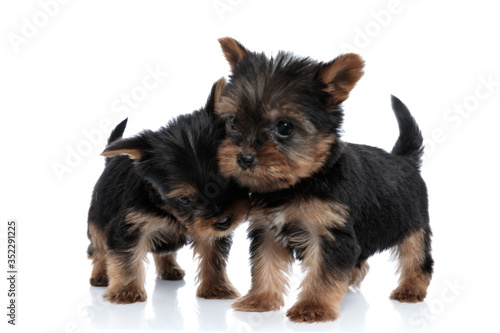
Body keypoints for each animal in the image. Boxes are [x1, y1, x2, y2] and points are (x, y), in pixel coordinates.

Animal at [88, 78, 250, 304]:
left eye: (231, 180)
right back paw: (100, 275)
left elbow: (213, 255)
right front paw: (126, 291)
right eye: (184, 200)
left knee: (163, 251)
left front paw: (216, 288)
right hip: (97, 216)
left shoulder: (211, 231)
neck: (169, 210)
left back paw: (170, 269)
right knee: (99, 248)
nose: (223, 221)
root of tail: (111, 161)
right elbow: (125, 256)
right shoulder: (129, 224)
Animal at [216, 38, 434, 322]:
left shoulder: (330, 232)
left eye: (284, 127)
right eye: (233, 122)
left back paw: (411, 287)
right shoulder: (267, 230)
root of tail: (404, 159)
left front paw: (313, 306)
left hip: (414, 222)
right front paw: (260, 299)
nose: (244, 157)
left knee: (417, 255)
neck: (299, 183)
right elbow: (265, 264)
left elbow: (323, 272)